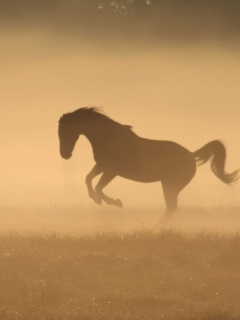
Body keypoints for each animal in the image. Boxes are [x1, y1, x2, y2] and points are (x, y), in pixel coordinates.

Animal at [57, 107, 238, 220]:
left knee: (171, 207)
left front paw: (115, 202)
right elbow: (88, 180)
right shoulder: (102, 166)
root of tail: (191, 155)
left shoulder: (112, 171)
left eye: (66, 131)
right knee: (171, 207)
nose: (64, 155)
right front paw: (97, 200)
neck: (109, 138)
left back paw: (156, 228)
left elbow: (98, 187)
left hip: (170, 186)